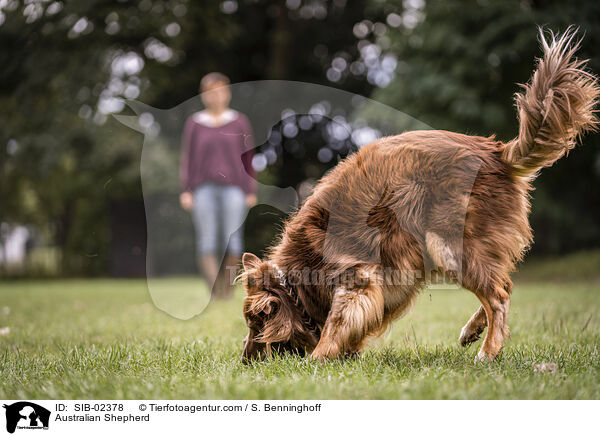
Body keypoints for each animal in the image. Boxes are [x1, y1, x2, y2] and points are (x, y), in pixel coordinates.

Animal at [240, 29, 600, 362]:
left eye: (256, 326)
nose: (242, 362)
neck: (296, 286)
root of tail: (497, 153)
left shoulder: (357, 280)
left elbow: (336, 324)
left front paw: (317, 359)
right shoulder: (383, 285)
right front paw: (345, 353)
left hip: (448, 246)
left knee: (499, 296)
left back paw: (488, 351)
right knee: (504, 286)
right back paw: (473, 331)